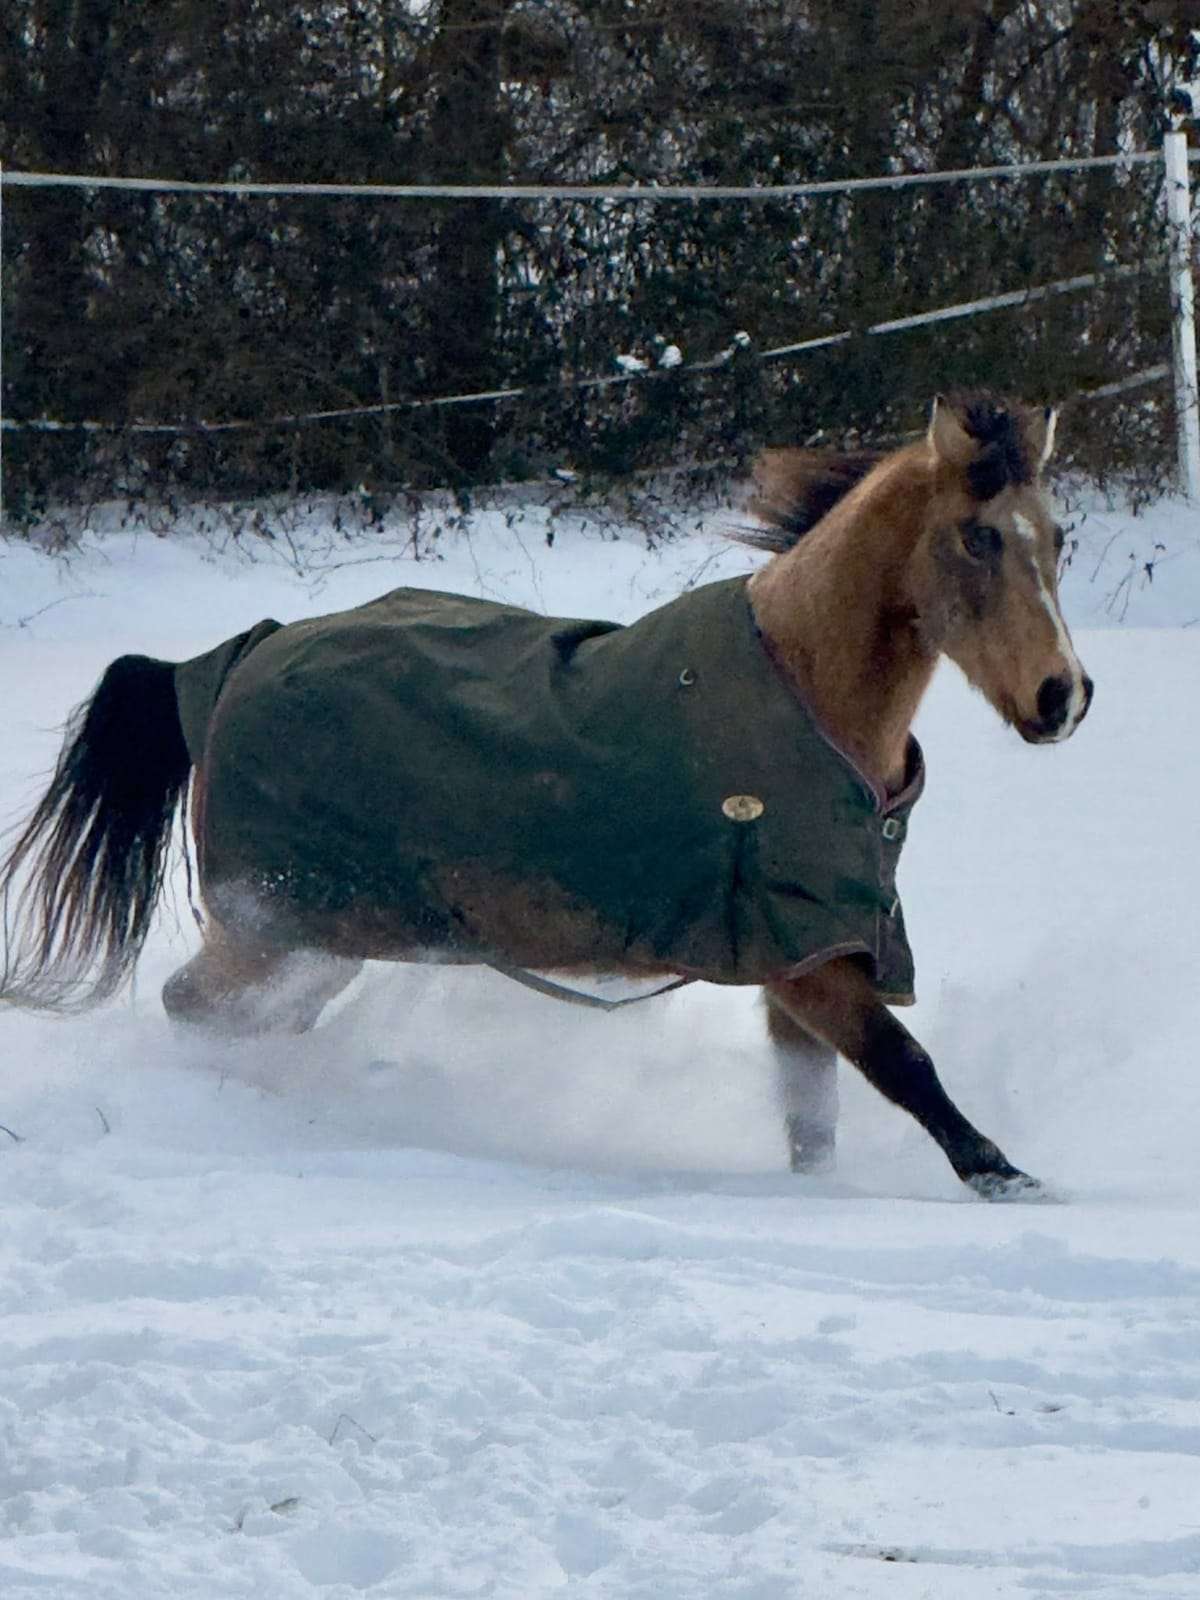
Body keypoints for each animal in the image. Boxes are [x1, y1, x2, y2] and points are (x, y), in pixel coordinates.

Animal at [0, 391, 1091, 1200]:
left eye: (1059, 538)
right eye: (979, 540)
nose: (1063, 697)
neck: (805, 691)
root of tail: (235, 658)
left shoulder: (806, 957)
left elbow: (814, 1115)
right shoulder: (809, 964)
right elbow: (906, 1066)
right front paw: (1013, 1181)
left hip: (320, 939)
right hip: (274, 927)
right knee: (191, 1007)